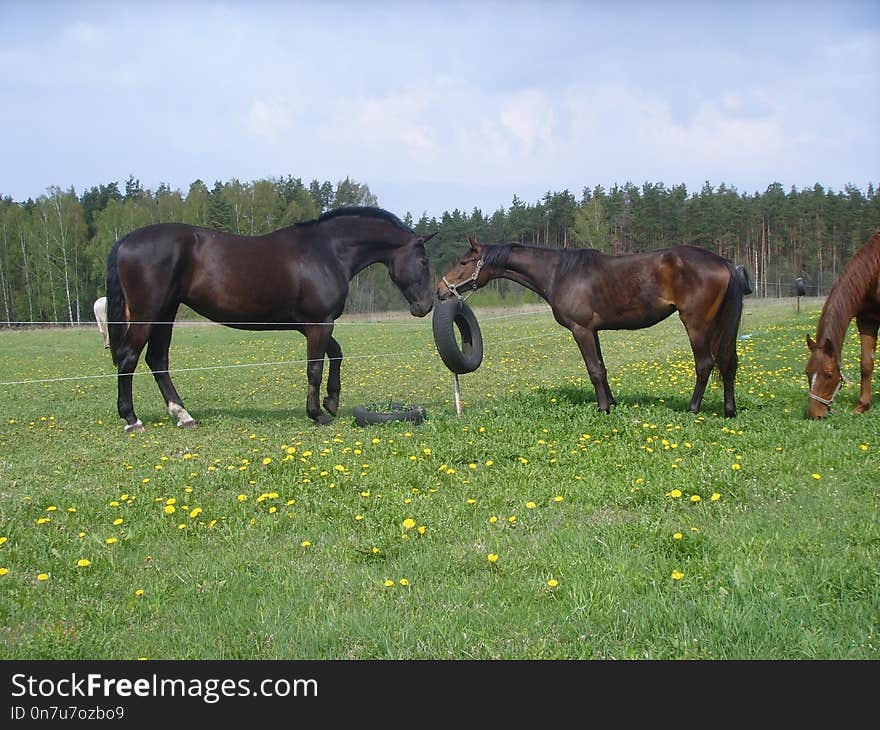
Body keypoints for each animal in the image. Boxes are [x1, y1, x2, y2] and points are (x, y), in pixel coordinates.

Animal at [106, 206, 436, 432]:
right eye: (423, 261)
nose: (425, 306)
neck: (327, 251)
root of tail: (126, 240)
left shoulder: (312, 325)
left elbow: (337, 354)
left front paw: (331, 401)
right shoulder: (319, 324)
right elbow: (314, 369)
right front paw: (317, 413)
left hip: (167, 313)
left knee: (157, 360)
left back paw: (183, 416)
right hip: (149, 314)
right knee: (130, 359)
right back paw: (132, 419)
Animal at [436, 233, 752, 416]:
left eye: (463, 262)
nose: (440, 289)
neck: (560, 273)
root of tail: (724, 263)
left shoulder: (582, 330)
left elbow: (594, 370)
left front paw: (602, 409)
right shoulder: (594, 331)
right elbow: (602, 367)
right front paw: (611, 403)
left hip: (697, 324)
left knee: (705, 364)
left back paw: (693, 408)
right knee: (727, 364)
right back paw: (729, 411)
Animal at [804, 230, 880, 418]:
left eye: (829, 374)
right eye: (807, 372)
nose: (815, 415)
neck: (875, 273)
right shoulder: (867, 321)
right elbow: (866, 364)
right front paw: (862, 406)